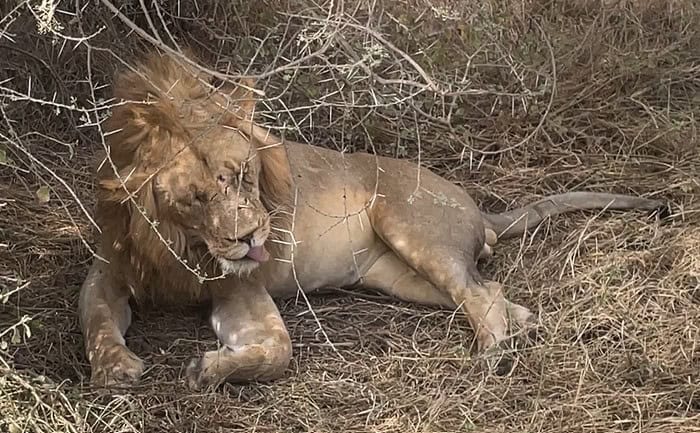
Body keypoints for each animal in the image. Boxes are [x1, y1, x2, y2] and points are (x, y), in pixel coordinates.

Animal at [79, 51, 665, 389]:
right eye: (196, 198)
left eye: (244, 175)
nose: (250, 238)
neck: (185, 245)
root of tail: (476, 204)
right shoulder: (108, 270)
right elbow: (97, 321)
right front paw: (115, 368)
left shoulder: (240, 289)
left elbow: (278, 351)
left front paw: (209, 369)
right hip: (401, 279)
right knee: (493, 294)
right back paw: (520, 326)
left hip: (410, 227)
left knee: (481, 294)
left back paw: (489, 360)